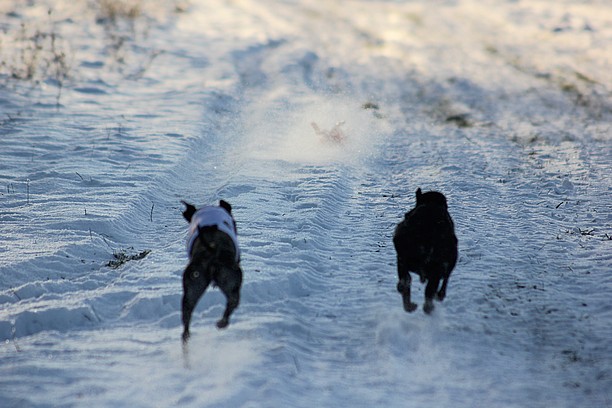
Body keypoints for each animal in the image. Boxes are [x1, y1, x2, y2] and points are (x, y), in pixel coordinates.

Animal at [180, 200, 243, 342]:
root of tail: (212, 250)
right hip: (229, 276)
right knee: (233, 301)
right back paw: (222, 322)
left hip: (193, 283)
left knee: (187, 310)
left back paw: (186, 335)